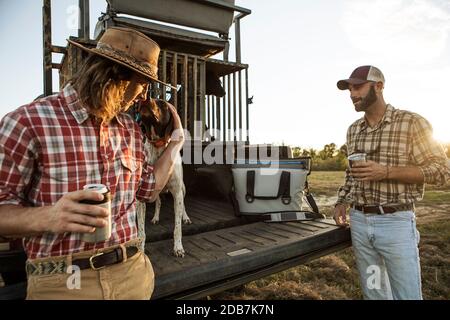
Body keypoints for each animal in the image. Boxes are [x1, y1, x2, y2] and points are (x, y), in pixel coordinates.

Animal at [135, 99, 190, 256]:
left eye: (163, 104)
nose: (145, 98)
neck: (158, 146)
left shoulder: (177, 192)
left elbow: (177, 227)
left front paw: (178, 247)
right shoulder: (141, 198)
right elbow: (141, 232)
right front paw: (140, 251)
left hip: (182, 189)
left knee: (183, 205)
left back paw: (186, 217)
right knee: (158, 203)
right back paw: (156, 217)